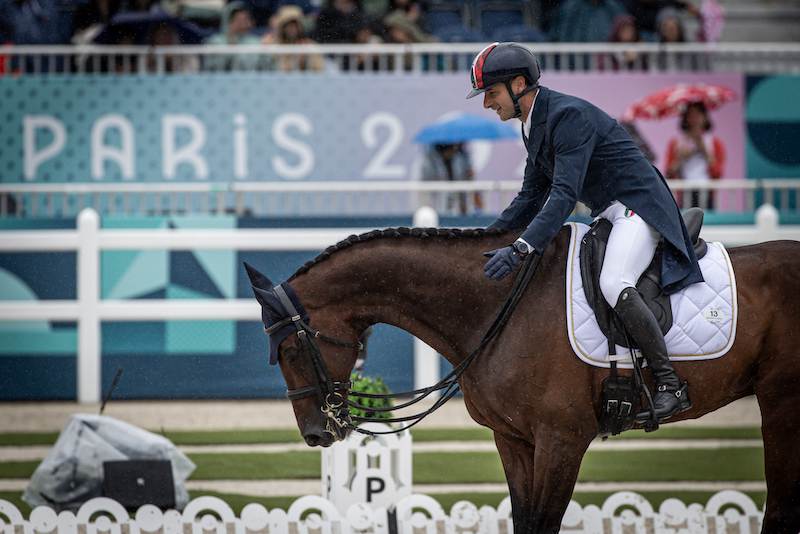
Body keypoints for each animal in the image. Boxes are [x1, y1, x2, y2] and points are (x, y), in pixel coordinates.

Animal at [247, 225, 800, 534]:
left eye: (290, 349)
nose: (316, 434)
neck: (495, 306)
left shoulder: (562, 440)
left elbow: (545, 524)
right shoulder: (513, 439)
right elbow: (523, 520)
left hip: (780, 404)